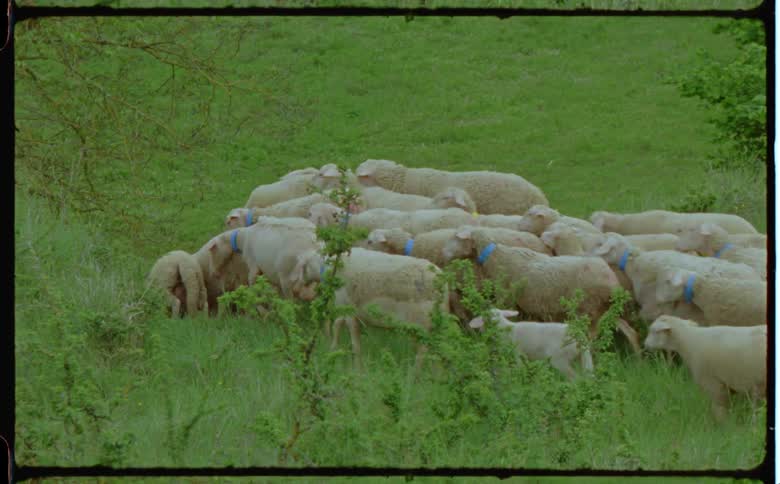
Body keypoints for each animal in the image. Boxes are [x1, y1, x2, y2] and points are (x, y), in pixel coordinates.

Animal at [441, 227, 641, 353]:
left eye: (456, 238)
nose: (442, 253)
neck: (496, 256)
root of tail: (611, 281)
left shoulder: (507, 298)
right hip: (605, 309)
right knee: (631, 333)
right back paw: (638, 358)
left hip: (588, 310)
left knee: (590, 338)